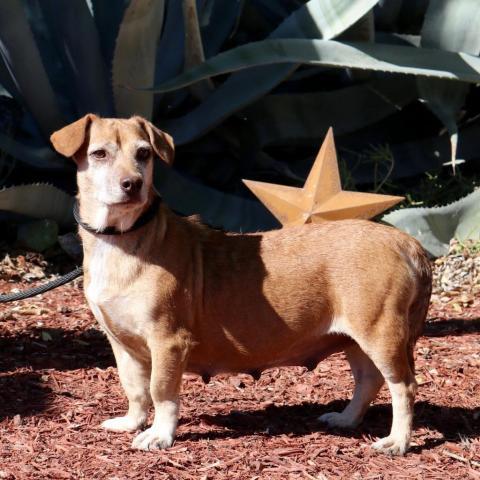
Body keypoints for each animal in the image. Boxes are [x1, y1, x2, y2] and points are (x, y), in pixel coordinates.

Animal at [50, 115, 434, 454]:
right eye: (99, 154)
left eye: (144, 153)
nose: (132, 183)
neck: (122, 239)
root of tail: (406, 243)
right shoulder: (122, 343)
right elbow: (135, 388)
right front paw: (131, 422)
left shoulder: (168, 341)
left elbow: (161, 391)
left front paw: (159, 435)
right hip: (354, 338)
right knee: (369, 381)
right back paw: (346, 419)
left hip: (380, 333)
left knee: (404, 386)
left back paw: (397, 442)